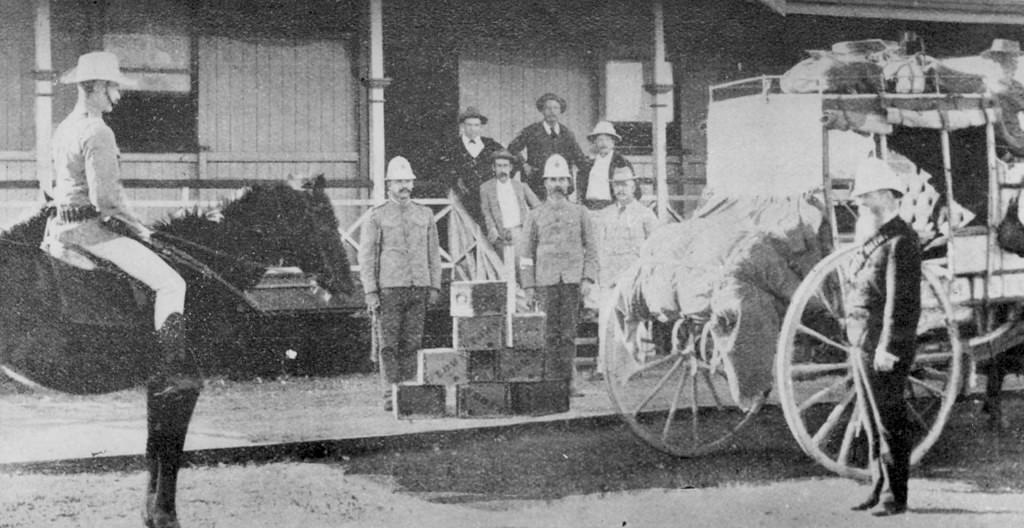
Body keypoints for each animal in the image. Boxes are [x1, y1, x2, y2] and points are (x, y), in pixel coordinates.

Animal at [0, 174, 352, 523]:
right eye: (324, 223)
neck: (199, 269)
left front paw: (151, 514)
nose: (347, 285)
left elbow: (153, 447)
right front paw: (166, 515)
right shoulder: (184, 384)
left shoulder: (160, 384)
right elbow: (171, 449)